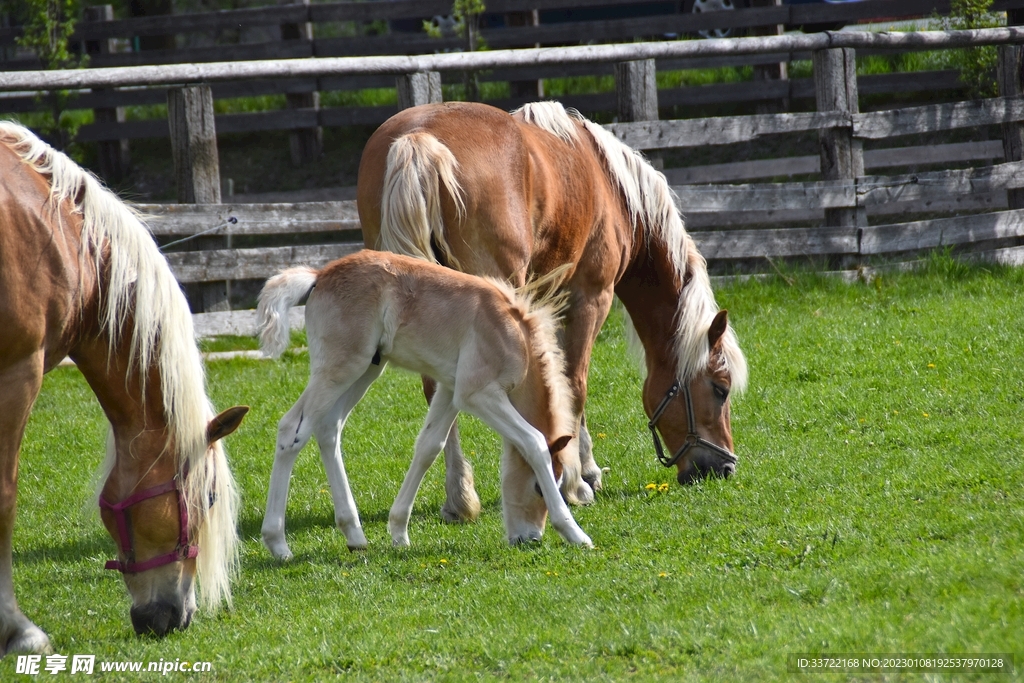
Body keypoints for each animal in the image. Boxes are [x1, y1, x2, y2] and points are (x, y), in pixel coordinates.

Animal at [0, 122, 248, 653]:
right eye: (209, 497)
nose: (177, 617)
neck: (64, 237)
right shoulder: (18, 370)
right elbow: (5, 496)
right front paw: (18, 628)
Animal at [256, 250, 591, 557]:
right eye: (538, 488)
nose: (530, 538)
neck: (512, 333)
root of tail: (319, 276)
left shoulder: (450, 390)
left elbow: (429, 446)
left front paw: (398, 532)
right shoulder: (477, 394)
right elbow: (533, 442)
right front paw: (575, 533)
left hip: (365, 370)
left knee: (328, 428)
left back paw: (354, 535)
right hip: (339, 368)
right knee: (292, 428)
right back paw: (278, 544)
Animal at [355, 101, 748, 523]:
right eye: (721, 389)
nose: (724, 467)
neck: (610, 185)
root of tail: (419, 137)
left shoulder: (550, 304)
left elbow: (559, 380)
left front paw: (585, 469)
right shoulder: (590, 299)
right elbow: (575, 384)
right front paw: (575, 481)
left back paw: (459, 497)